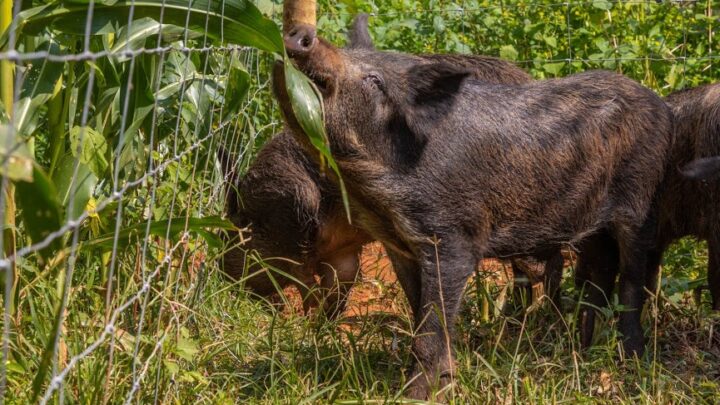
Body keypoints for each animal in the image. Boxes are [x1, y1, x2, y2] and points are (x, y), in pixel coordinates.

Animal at [278, 26, 676, 398]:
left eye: (374, 80)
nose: (302, 35)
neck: (376, 195)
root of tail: (658, 105)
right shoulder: (398, 246)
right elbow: (419, 311)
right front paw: (443, 383)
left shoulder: (454, 236)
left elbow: (432, 324)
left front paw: (415, 395)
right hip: (590, 225)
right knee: (600, 273)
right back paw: (585, 347)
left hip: (639, 203)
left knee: (631, 282)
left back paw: (633, 361)